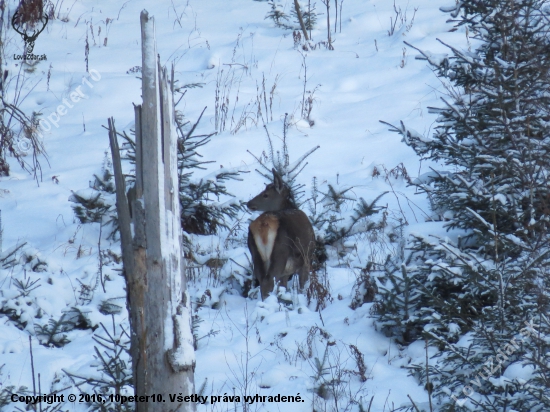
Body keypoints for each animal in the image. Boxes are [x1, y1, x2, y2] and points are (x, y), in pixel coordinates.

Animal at [249, 167, 316, 300]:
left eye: (265, 194)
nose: (248, 203)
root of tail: (263, 225)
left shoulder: (287, 272)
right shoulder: (307, 259)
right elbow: (303, 285)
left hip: (255, 254)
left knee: (261, 280)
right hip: (280, 252)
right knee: (268, 281)